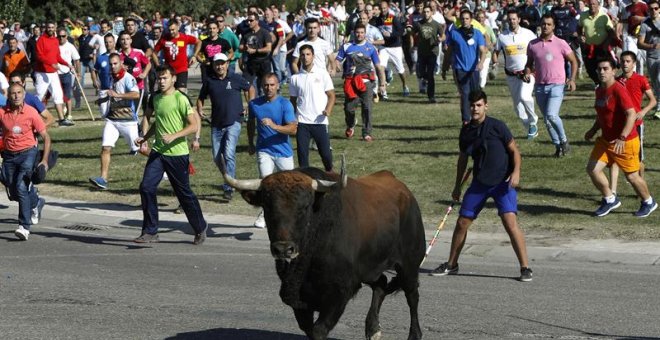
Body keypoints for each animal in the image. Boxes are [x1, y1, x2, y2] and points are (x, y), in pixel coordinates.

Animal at [223, 157, 428, 340]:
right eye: (267, 206)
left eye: (305, 206)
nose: (283, 249)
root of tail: (404, 190)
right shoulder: (300, 299)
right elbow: (308, 328)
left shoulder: (339, 293)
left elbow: (318, 331)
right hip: (370, 267)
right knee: (381, 284)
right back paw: (373, 329)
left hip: (409, 265)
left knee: (412, 297)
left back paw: (413, 334)